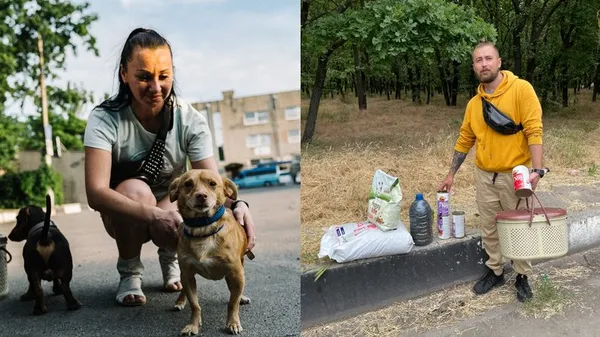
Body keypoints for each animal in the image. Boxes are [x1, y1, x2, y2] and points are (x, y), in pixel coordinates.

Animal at [170, 169, 252, 334]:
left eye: (213, 184)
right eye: (188, 184)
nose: (201, 195)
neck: (203, 229)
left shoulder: (235, 273)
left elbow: (232, 303)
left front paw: (233, 323)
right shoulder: (187, 275)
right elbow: (195, 305)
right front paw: (193, 325)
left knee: (234, 291)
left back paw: (241, 297)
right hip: (184, 274)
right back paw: (180, 301)